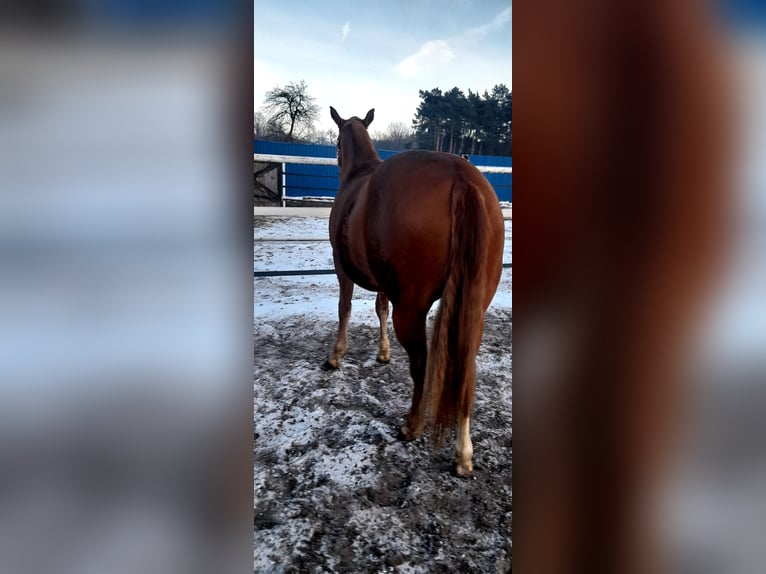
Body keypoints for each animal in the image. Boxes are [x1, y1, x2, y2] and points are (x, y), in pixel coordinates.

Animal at [323, 106, 505, 478]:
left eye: (335, 142)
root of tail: (461, 176)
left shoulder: (341, 267)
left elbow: (344, 307)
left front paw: (336, 356)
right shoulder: (383, 283)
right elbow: (379, 308)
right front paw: (382, 353)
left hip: (412, 310)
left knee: (421, 365)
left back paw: (413, 425)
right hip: (473, 311)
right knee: (465, 368)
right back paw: (463, 454)